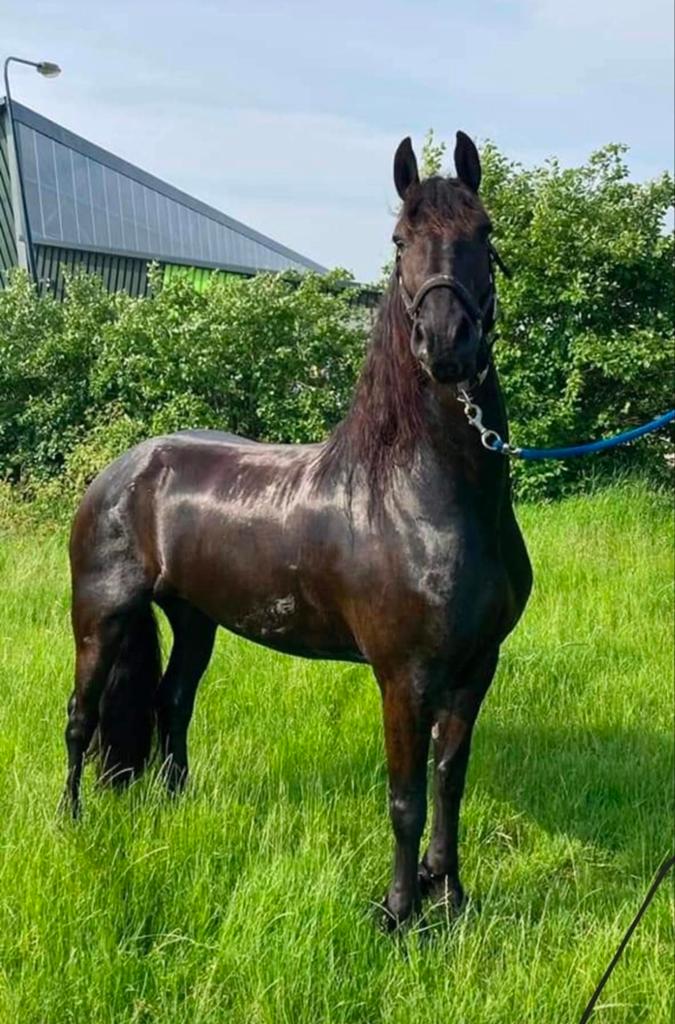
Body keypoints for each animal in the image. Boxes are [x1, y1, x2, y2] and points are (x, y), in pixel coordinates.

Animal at [63, 130, 532, 929]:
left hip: (193, 619)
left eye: (485, 231)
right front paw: (398, 914)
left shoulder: (476, 667)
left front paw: (451, 897)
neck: (425, 498)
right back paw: (69, 823)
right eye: (399, 239)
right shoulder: (402, 676)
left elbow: (448, 783)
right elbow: (405, 797)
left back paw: (174, 805)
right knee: (81, 718)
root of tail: (122, 468)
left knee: (170, 702)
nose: (447, 343)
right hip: (101, 616)